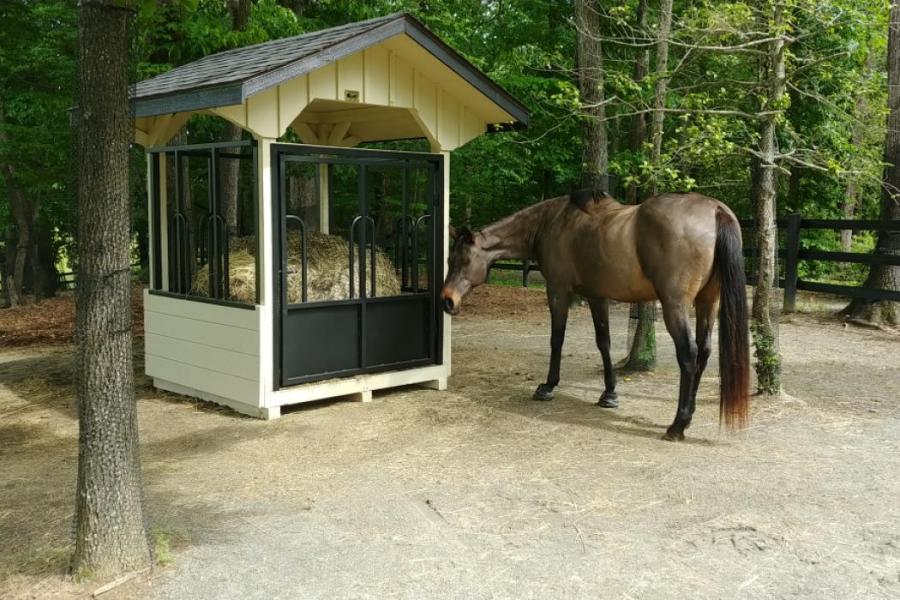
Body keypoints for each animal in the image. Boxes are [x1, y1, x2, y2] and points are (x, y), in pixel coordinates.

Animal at [440, 190, 748, 442]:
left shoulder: (558, 291)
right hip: (708, 302)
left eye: (463, 260)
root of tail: (715, 209)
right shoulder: (596, 296)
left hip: (676, 306)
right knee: (704, 352)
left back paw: (677, 425)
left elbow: (557, 339)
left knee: (688, 354)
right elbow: (604, 343)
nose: (447, 300)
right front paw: (609, 394)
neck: (551, 223)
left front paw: (548, 386)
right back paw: (689, 415)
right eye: (449, 259)